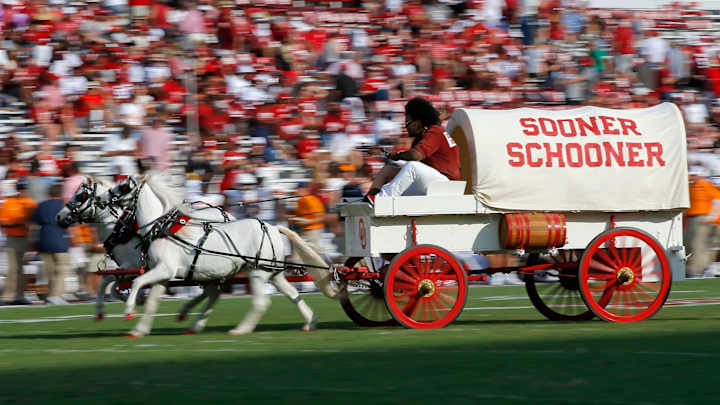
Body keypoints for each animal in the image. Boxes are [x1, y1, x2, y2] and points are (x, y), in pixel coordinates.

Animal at [56, 176, 232, 333]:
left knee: (212, 291)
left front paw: (127, 305)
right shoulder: (129, 269)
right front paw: (131, 302)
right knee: (212, 292)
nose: (58, 217)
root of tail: (228, 215)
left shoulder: (134, 266)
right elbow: (111, 284)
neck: (122, 229)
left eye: (81, 196)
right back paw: (188, 315)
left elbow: (109, 282)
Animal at [97, 172, 339, 337]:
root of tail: (273, 227)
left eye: (123, 186)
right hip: (272, 272)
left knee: (260, 302)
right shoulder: (162, 273)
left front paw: (129, 310)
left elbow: (137, 282)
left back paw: (240, 329)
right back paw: (309, 322)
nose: (100, 200)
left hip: (257, 272)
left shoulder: (164, 269)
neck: (162, 228)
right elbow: (144, 294)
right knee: (292, 294)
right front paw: (138, 323)